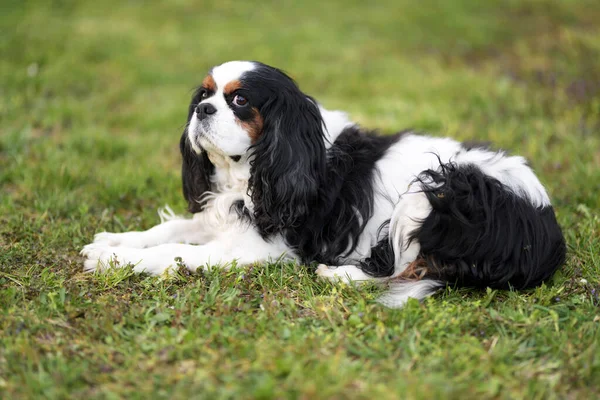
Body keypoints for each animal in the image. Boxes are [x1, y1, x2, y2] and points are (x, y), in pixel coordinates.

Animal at [81, 61, 568, 308]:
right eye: (203, 95)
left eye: (240, 100)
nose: (203, 111)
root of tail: (547, 231)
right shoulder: (227, 213)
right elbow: (169, 230)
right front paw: (114, 240)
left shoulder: (264, 247)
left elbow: (174, 252)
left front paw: (113, 259)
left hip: (432, 190)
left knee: (405, 270)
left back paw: (339, 275)